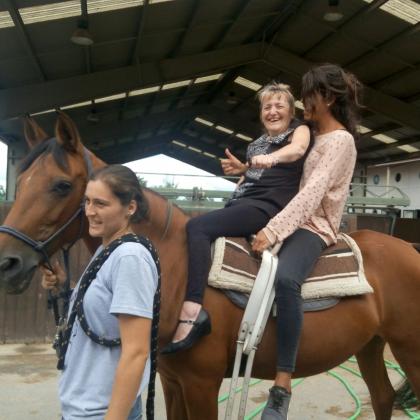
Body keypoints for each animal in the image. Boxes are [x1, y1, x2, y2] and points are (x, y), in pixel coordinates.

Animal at [0, 112, 419, 420]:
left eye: (61, 185)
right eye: (20, 181)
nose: (7, 262)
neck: (176, 267)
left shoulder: (202, 383)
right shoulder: (171, 380)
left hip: (408, 348)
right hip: (370, 345)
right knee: (383, 397)